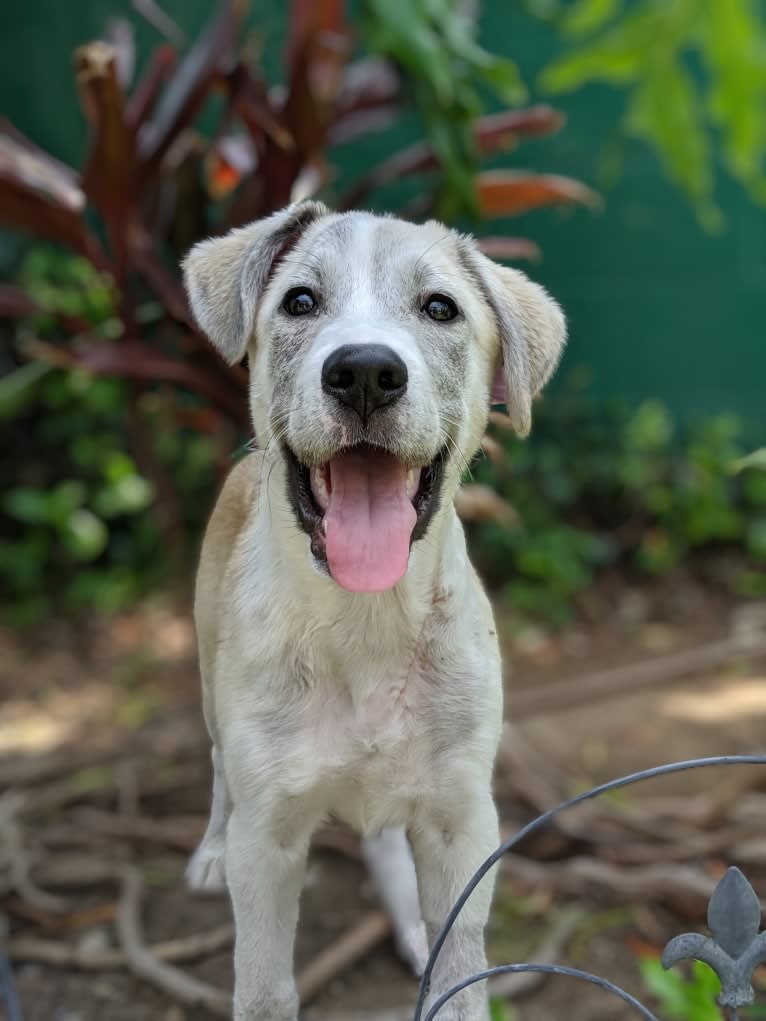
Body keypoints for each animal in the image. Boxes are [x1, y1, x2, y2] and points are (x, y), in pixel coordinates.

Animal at [179, 201, 563, 1021]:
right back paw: (210, 850)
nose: (363, 372)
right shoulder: (269, 840)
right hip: (208, 674)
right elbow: (263, 986)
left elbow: (461, 971)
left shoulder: (461, 818)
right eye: (299, 300)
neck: (365, 625)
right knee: (221, 763)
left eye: (440, 308)